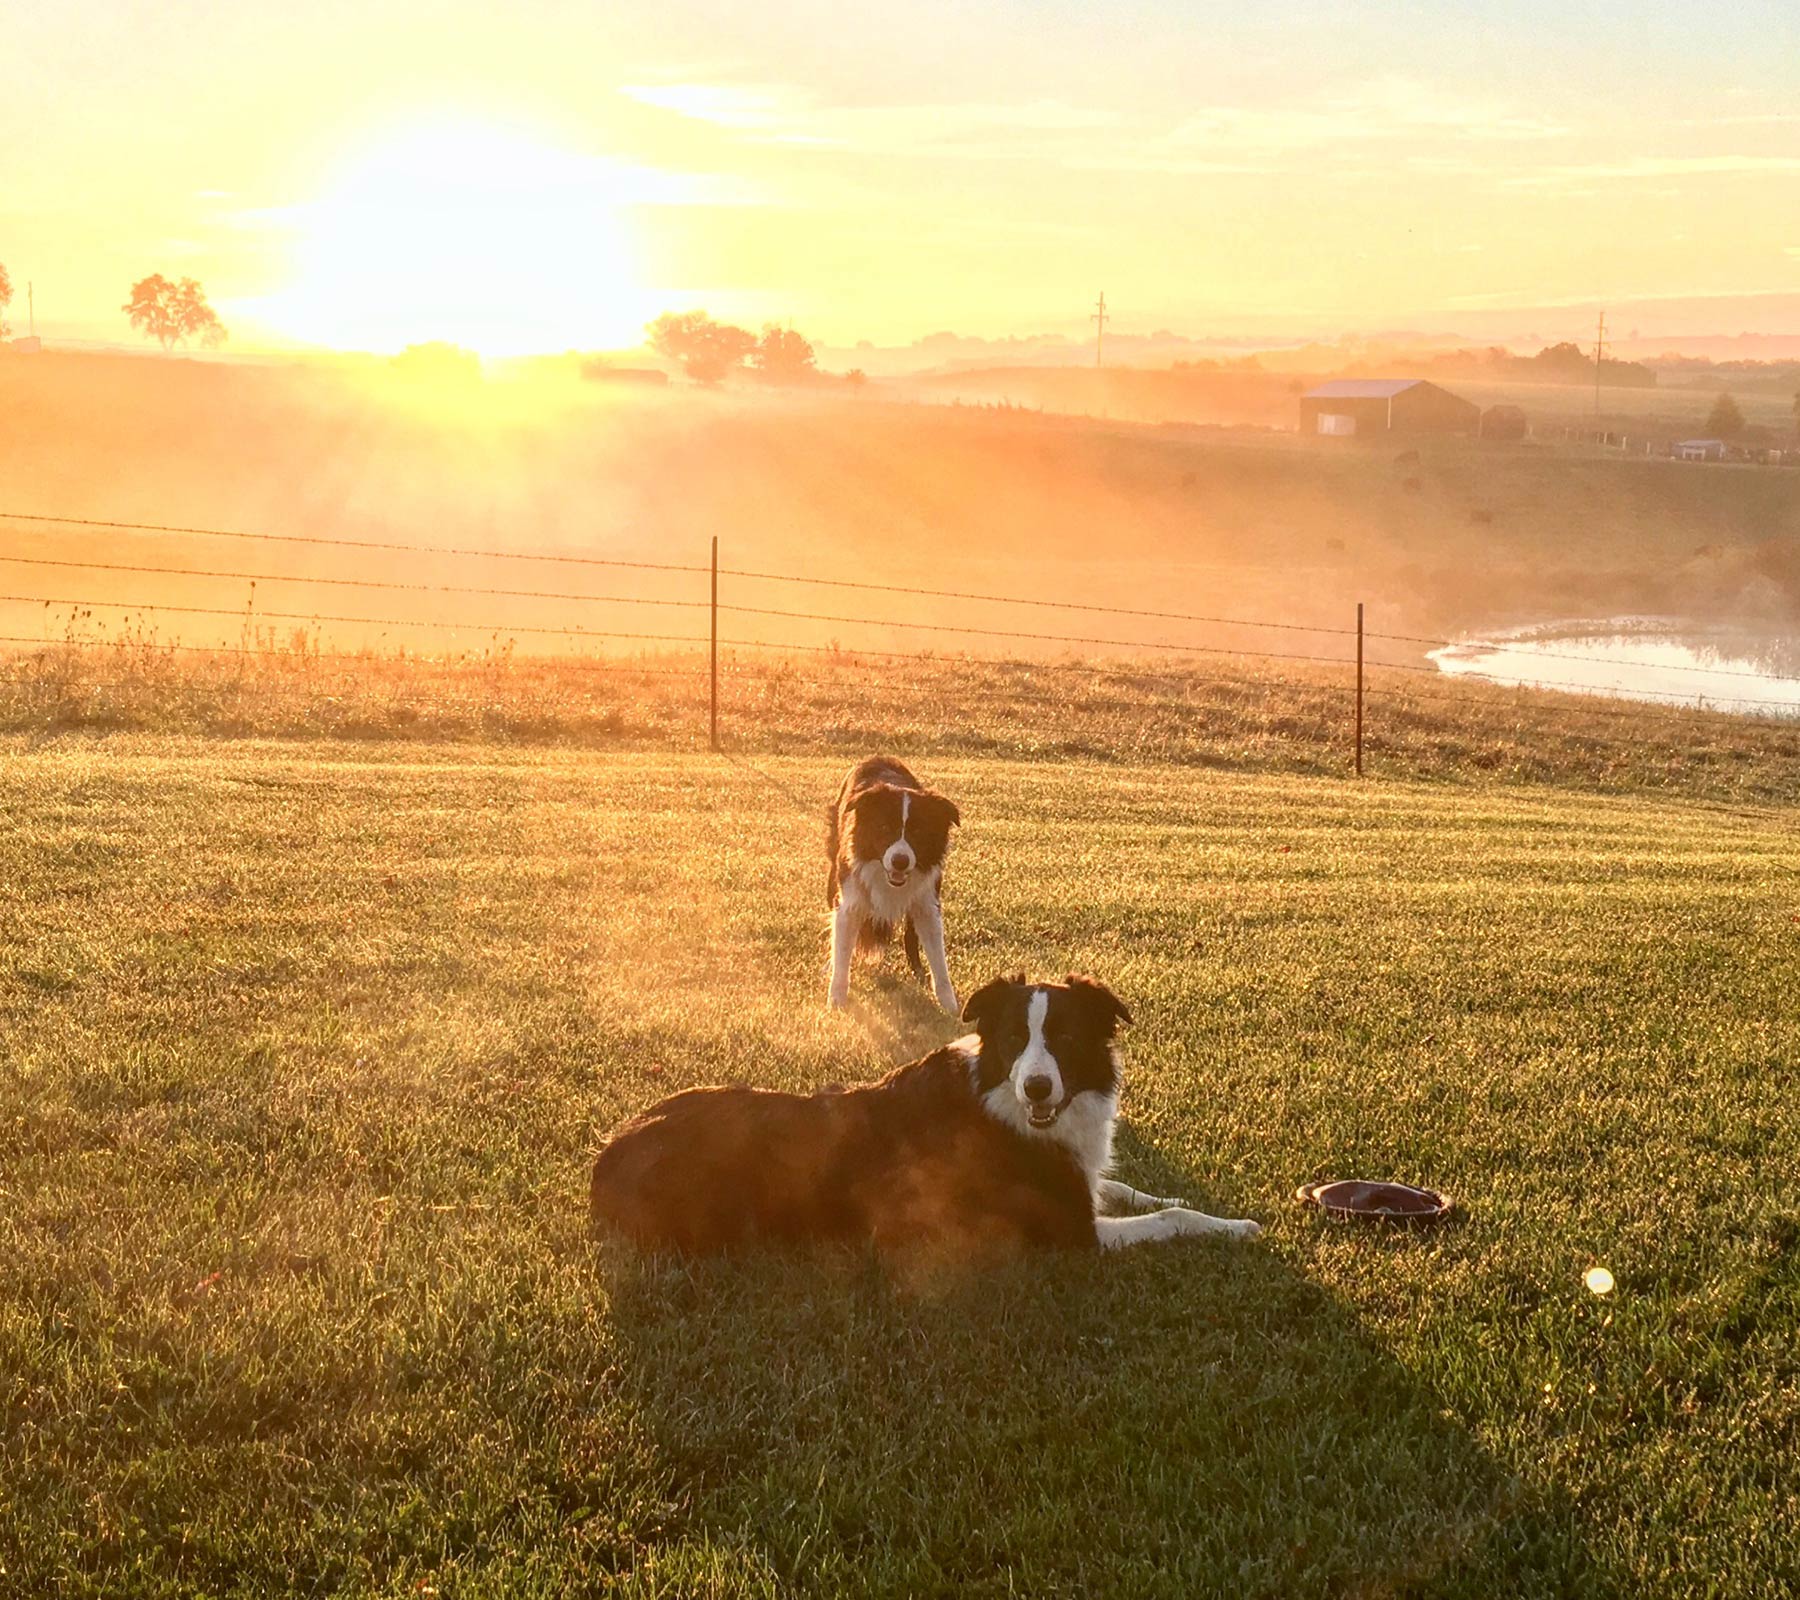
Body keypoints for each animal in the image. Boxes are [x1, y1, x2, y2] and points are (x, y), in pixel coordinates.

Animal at [590, 964, 1267, 1252]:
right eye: (1014, 1040)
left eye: (1066, 1039)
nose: (1036, 1089)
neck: (1001, 1101)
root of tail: (605, 1156)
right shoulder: (1072, 1231)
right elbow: (1169, 1220)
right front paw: (1236, 1229)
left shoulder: (1079, 1178)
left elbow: (1132, 1190)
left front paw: (1185, 1199)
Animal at [828, 752, 964, 1007]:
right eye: (883, 827)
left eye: (918, 832)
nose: (900, 861)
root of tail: (878, 756)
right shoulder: (849, 901)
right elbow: (841, 951)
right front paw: (836, 1001)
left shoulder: (927, 901)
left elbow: (939, 960)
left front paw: (950, 1006)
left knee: (910, 936)